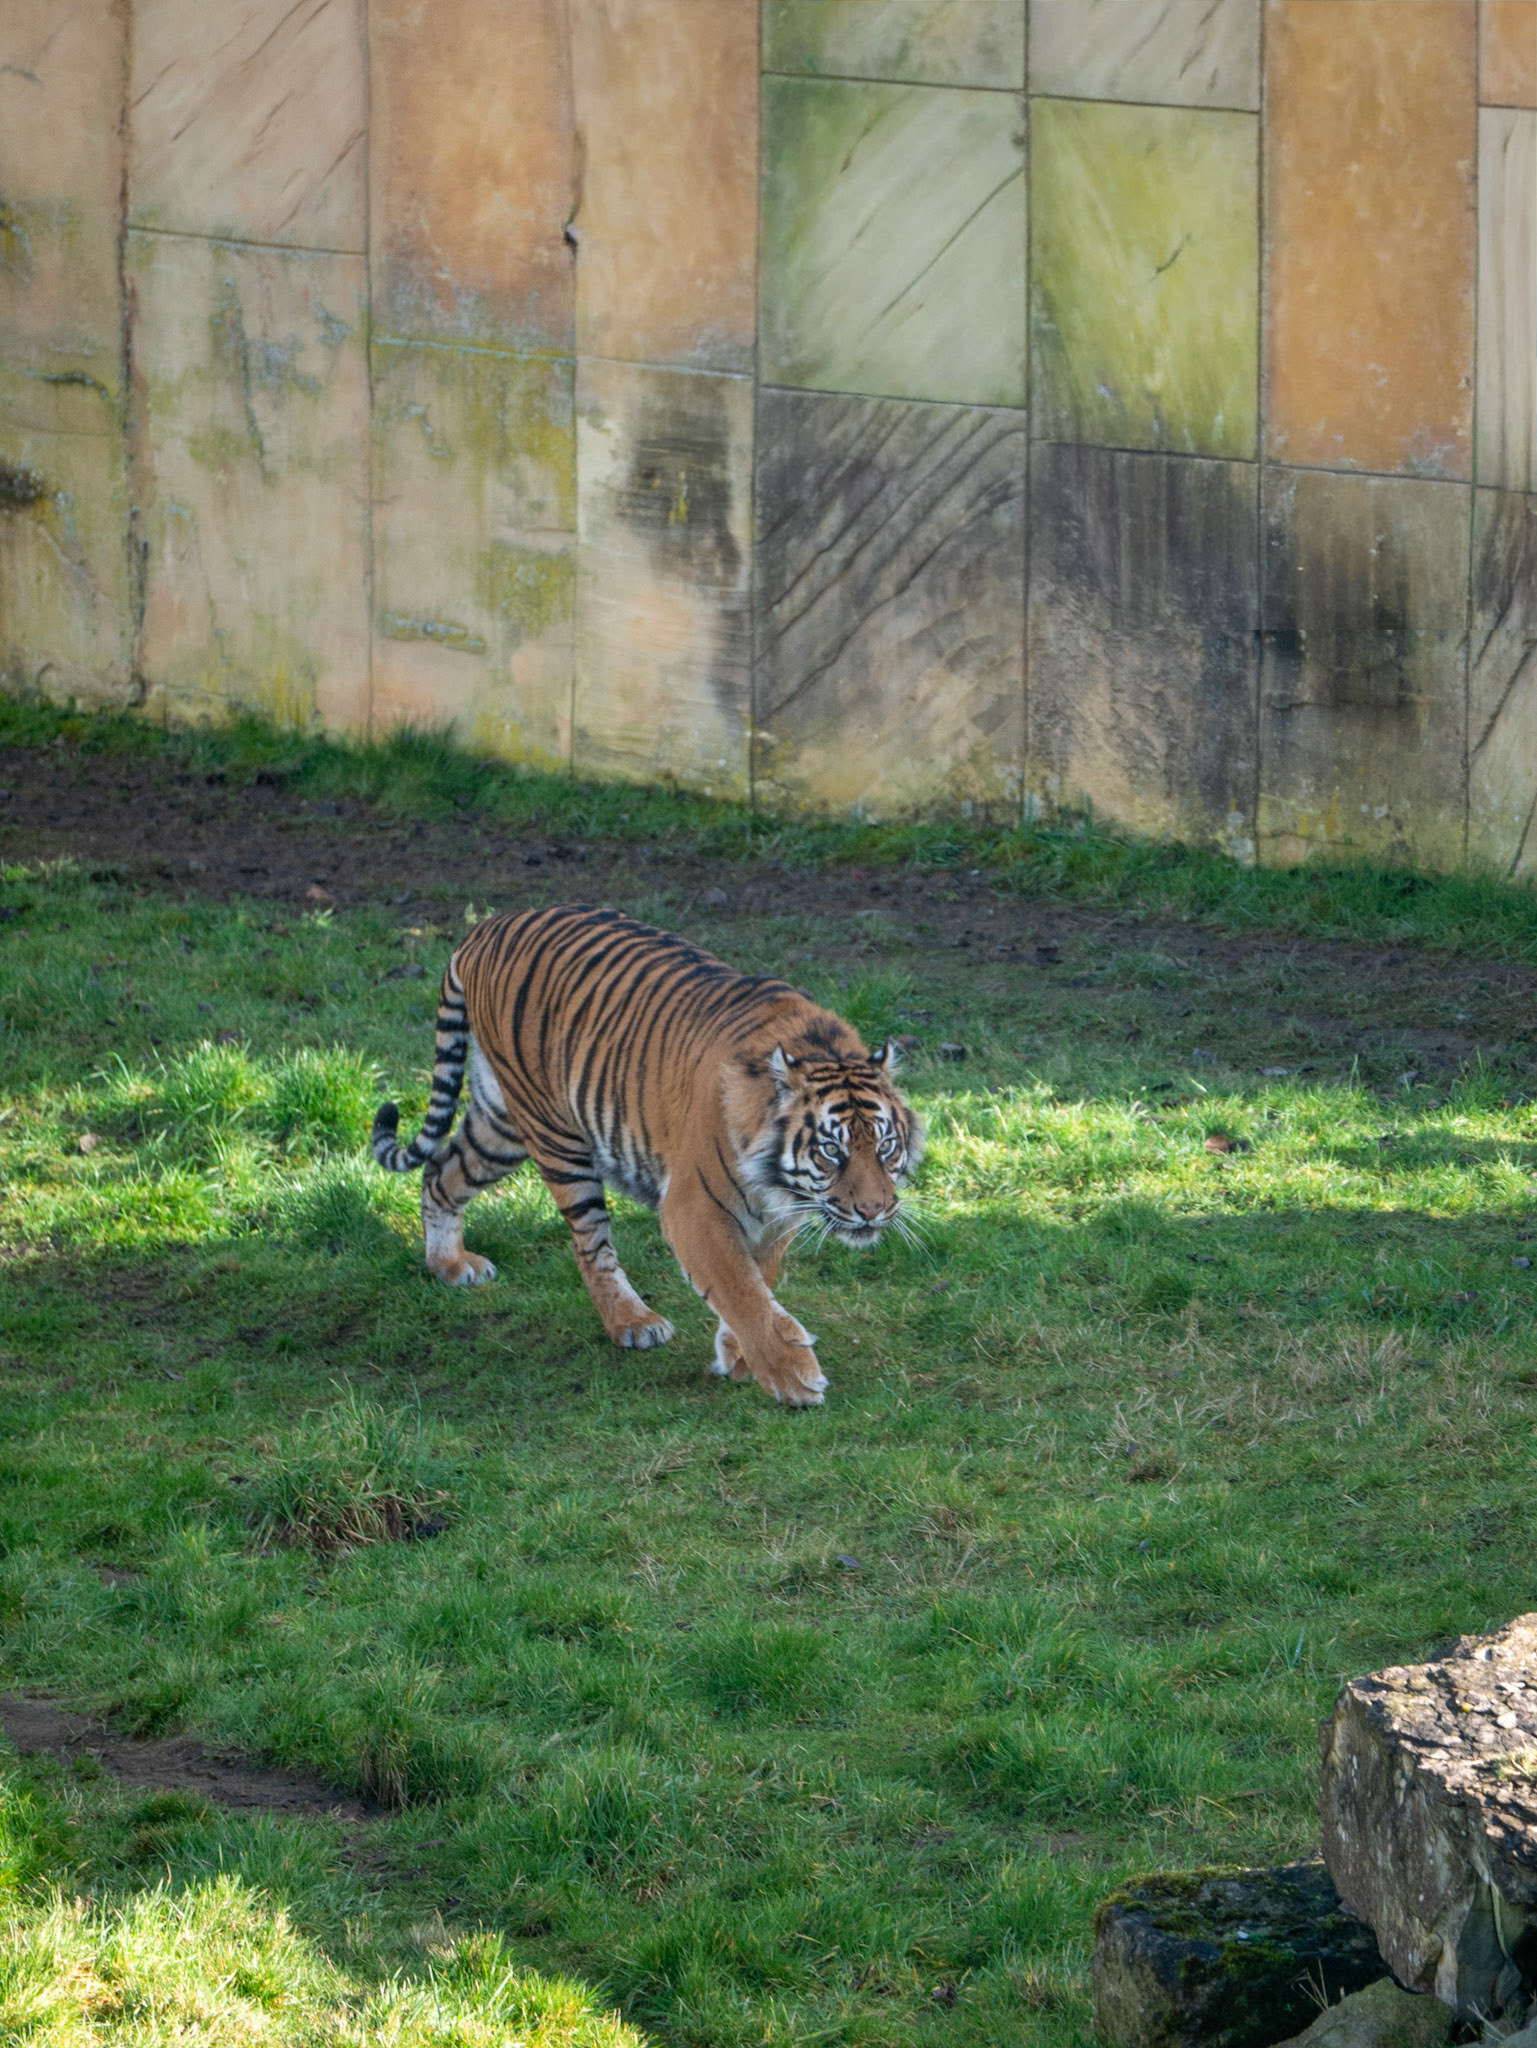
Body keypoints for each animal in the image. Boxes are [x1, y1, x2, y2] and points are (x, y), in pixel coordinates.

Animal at [371, 904, 921, 1407]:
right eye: (832, 1151)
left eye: (886, 1146)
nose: (874, 1211)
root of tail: (488, 926)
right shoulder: (694, 1208)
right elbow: (740, 1288)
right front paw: (791, 1373)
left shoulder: (777, 1216)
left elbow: (756, 1281)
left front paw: (739, 1355)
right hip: (556, 1135)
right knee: (591, 1246)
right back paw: (632, 1322)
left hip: (500, 1124)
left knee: (441, 1172)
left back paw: (447, 1264)